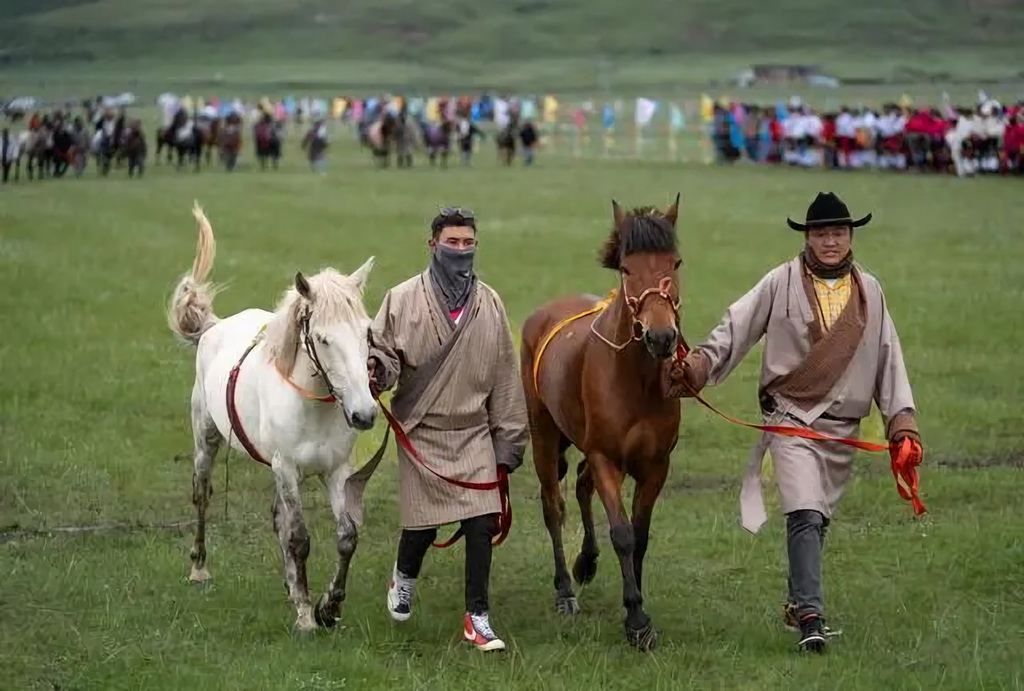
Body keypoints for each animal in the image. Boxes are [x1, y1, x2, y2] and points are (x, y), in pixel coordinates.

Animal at [168, 203, 385, 630]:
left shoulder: (335, 471)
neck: (314, 408)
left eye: (367, 333)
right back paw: (199, 568)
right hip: (206, 437)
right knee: (202, 494)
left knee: (276, 518)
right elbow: (299, 537)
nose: (364, 414)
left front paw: (328, 606)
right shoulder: (287, 467)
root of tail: (215, 327)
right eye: (322, 339)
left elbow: (346, 535)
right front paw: (305, 615)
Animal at [524, 195, 684, 655]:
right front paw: (636, 620)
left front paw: (636, 599)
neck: (637, 378)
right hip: (544, 434)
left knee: (579, 483)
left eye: (675, 263)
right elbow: (624, 533)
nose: (662, 337)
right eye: (627, 268)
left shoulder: (655, 465)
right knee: (554, 506)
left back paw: (586, 562)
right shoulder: (606, 457)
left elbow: (641, 536)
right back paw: (565, 589)